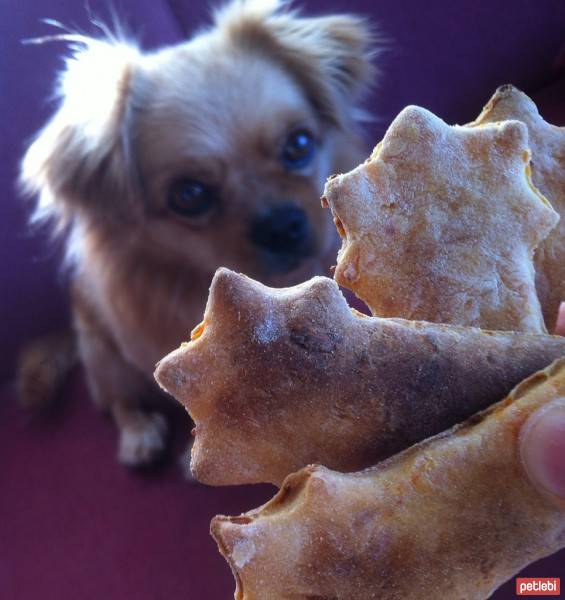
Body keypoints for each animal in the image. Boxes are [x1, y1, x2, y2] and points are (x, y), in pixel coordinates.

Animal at [19, 0, 376, 466]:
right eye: (188, 195)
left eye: (299, 145)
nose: (281, 223)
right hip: (102, 355)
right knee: (118, 401)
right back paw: (138, 434)